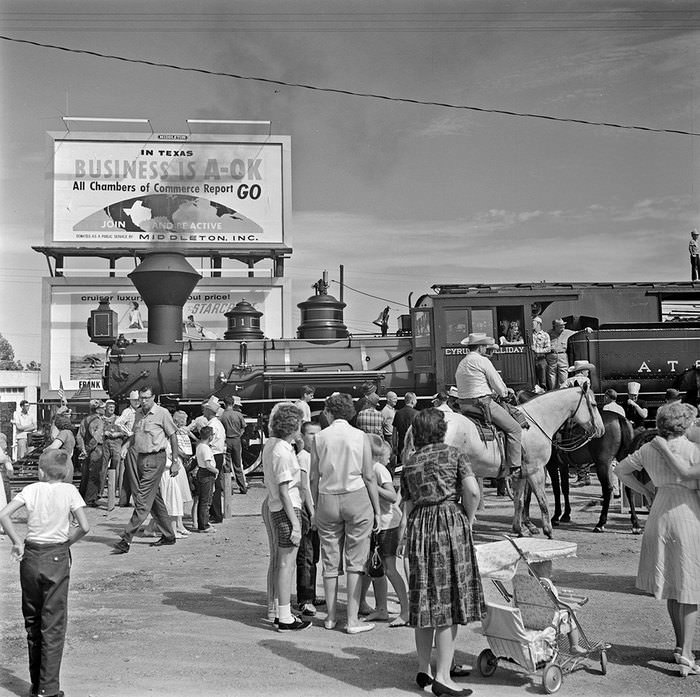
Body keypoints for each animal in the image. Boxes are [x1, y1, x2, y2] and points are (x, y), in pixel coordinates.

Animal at [404, 384, 600, 536]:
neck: (537, 421)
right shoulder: (536, 470)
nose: (601, 429)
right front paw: (548, 530)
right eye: (594, 404)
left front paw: (519, 529)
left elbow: (519, 500)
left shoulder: (521, 473)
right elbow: (542, 500)